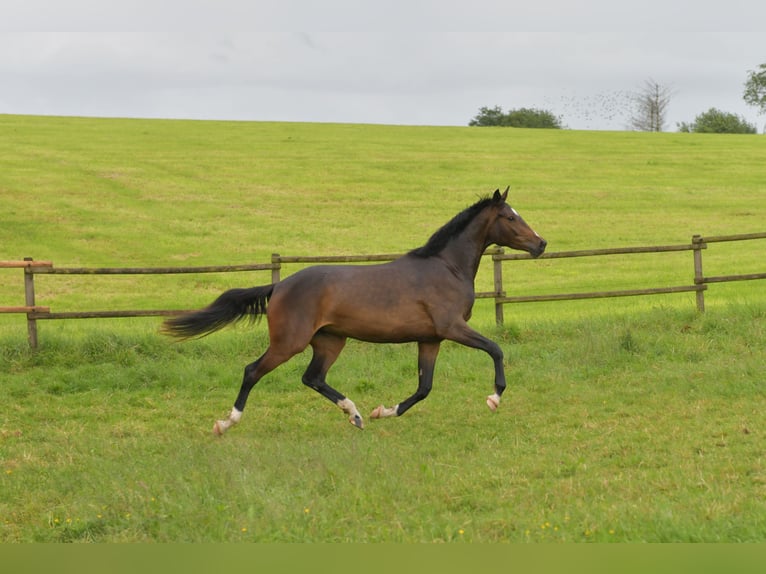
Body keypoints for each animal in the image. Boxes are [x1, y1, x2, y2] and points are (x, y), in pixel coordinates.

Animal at [162, 189, 544, 436]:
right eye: (510, 217)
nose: (541, 244)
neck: (446, 267)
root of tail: (279, 287)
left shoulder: (430, 338)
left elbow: (424, 388)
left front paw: (383, 411)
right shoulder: (452, 327)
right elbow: (496, 349)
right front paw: (494, 398)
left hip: (330, 341)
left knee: (313, 378)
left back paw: (356, 414)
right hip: (289, 342)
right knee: (253, 371)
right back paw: (226, 423)